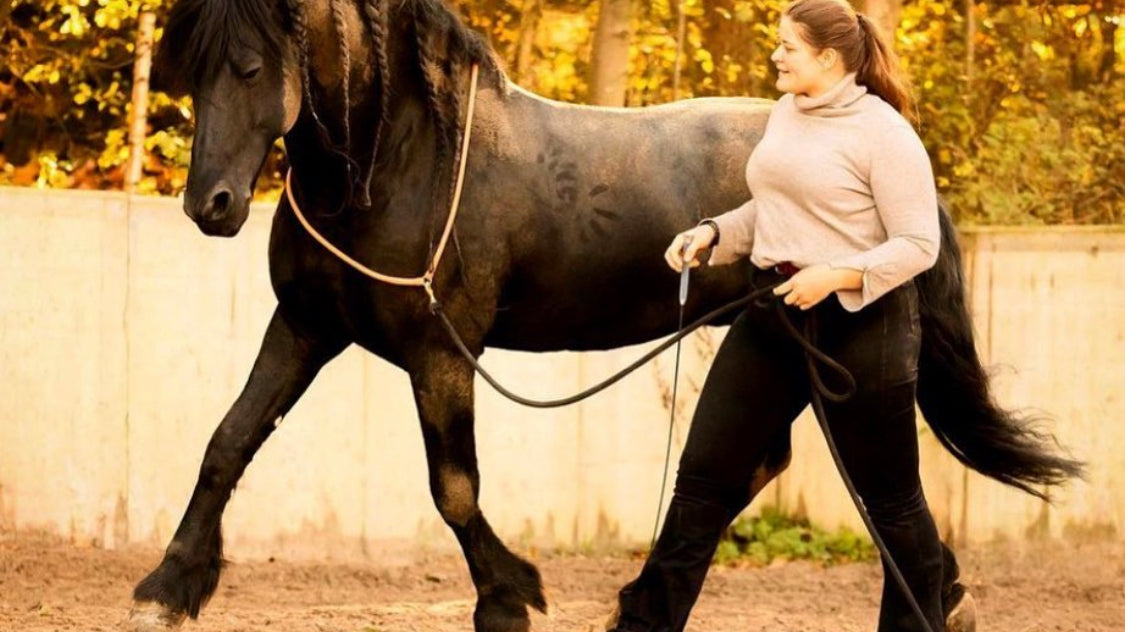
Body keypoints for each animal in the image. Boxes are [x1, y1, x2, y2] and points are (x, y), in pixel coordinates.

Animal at [126, 1, 1083, 630]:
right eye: (188, 68)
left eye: (249, 67)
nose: (209, 206)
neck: (404, 164)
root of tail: (907, 164)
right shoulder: (304, 328)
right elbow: (227, 443)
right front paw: (169, 587)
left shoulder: (441, 352)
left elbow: (453, 488)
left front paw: (510, 596)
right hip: (779, 344)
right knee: (774, 469)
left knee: (873, 483)